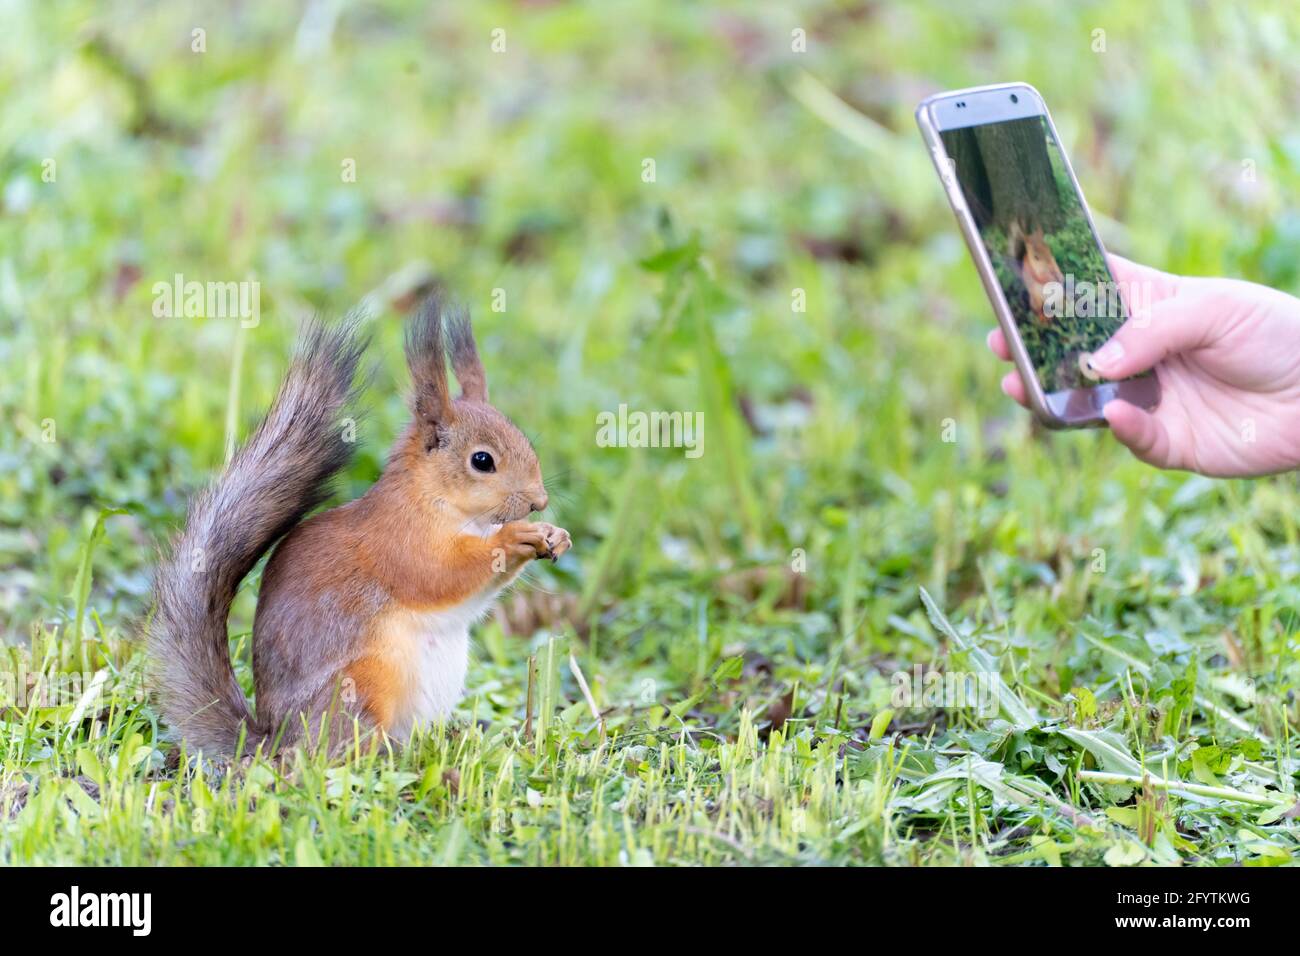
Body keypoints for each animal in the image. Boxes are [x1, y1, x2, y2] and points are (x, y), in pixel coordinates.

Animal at [148, 297, 569, 754]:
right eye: (482, 461)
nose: (539, 501)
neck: (443, 506)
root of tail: (274, 745)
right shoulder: (399, 542)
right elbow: (442, 574)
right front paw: (517, 537)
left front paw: (554, 535)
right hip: (364, 681)